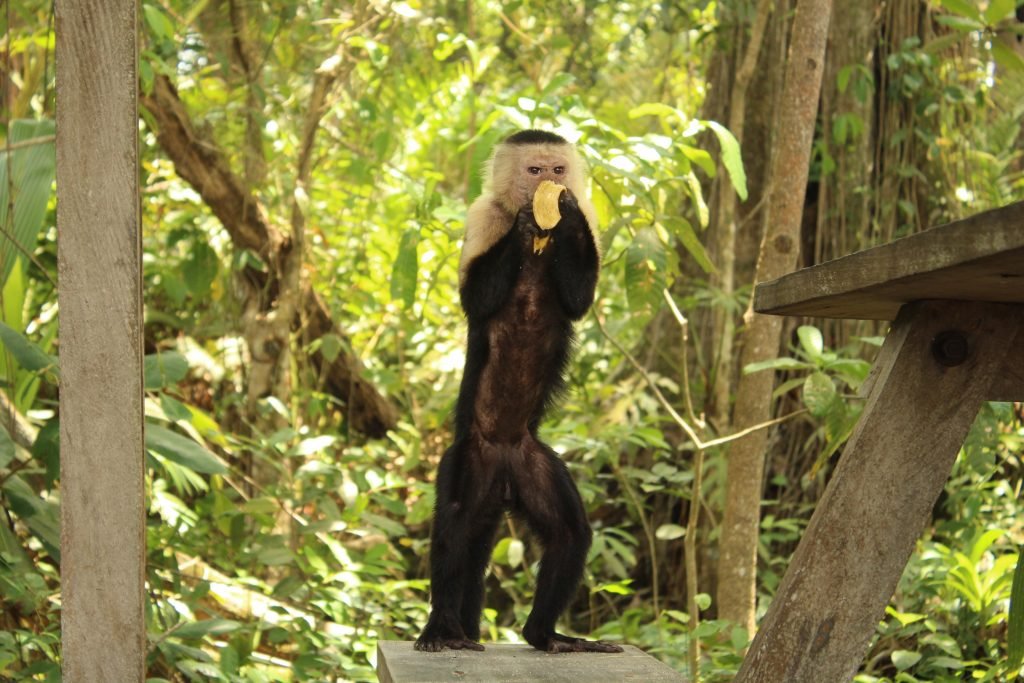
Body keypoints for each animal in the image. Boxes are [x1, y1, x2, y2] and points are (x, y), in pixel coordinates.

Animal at [411, 129, 618, 655]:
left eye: (558, 171)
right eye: (534, 171)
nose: (548, 184)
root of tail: (502, 464)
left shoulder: (592, 217)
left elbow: (579, 298)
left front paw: (563, 216)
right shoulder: (482, 216)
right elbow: (475, 299)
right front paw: (524, 224)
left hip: (531, 460)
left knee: (569, 535)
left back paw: (546, 634)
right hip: (470, 456)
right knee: (455, 526)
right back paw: (442, 627)